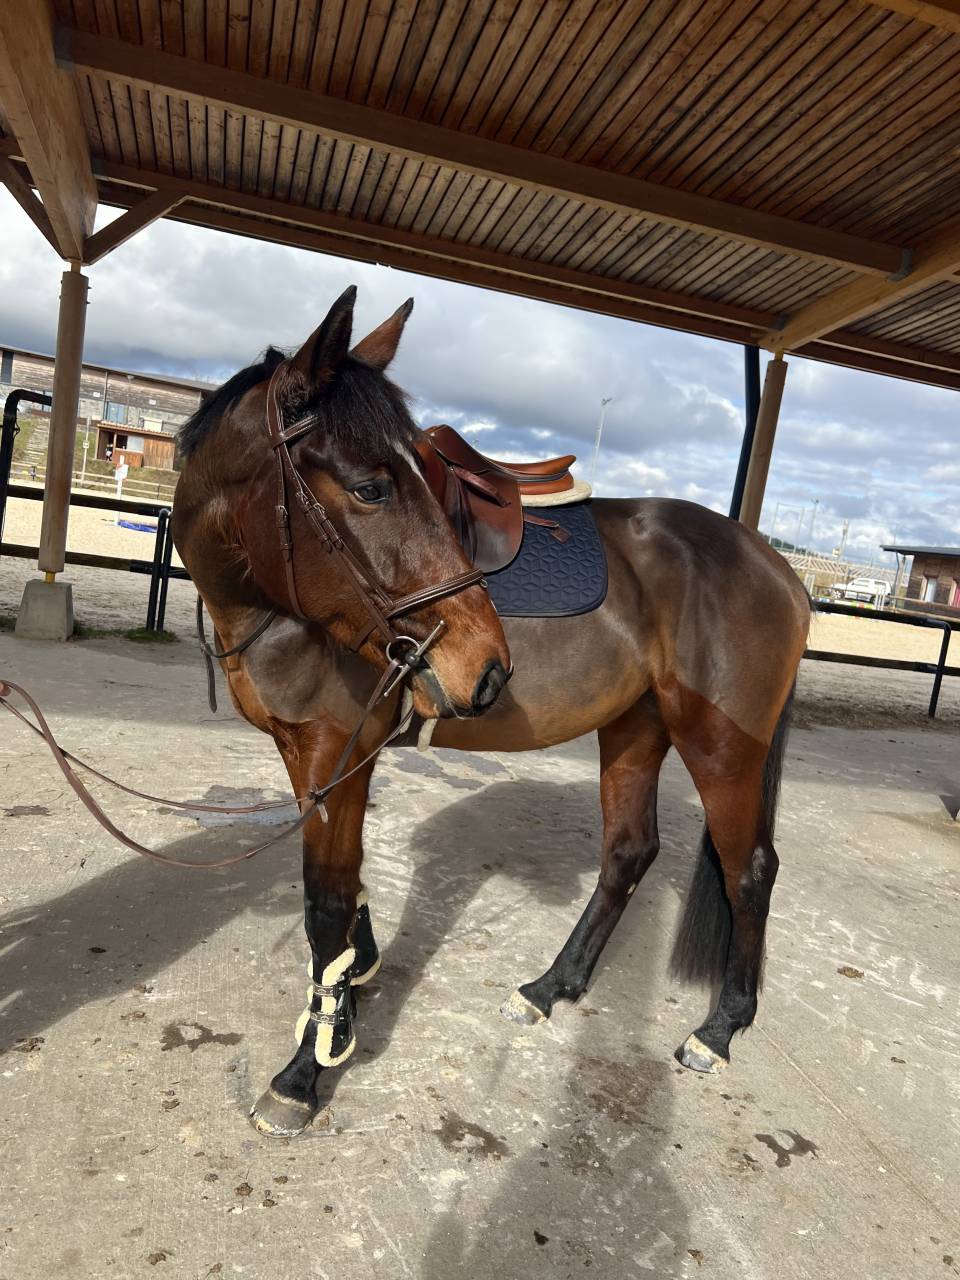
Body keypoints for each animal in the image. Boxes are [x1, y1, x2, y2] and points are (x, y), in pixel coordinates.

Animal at [171, 286, 810, 1138]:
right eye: (371, 487)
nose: (488, 667)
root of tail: (778, 566)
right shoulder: (308, 754)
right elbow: (345, 885)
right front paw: (355, 982)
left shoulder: (336, 751)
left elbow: (325, 901)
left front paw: (308, 1067)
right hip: (637, 727)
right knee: (629, 853)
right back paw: (550, 988)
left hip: (719, 745)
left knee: (750, 870)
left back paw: (719, 1029)